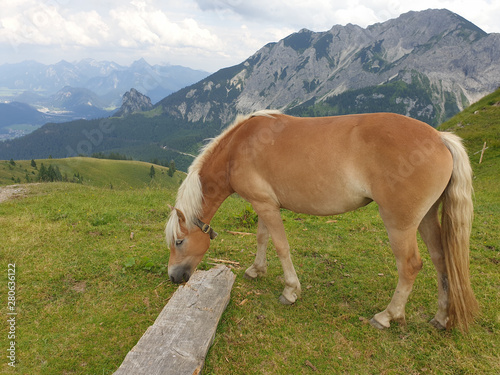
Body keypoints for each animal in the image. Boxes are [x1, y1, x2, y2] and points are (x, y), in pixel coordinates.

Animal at [166, 109, 478, 332]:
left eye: (179, 241)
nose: (173, 277)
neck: (238, 148)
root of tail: (440, 138)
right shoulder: (264, 204)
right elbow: (262, 238)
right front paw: (257, 270)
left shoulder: (266, 206)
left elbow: (281, 246)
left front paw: (290, 291)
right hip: (426, 218)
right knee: (441, 259)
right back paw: (440, 318)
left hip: (400, 225)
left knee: (410, 266)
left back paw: (387, 316)